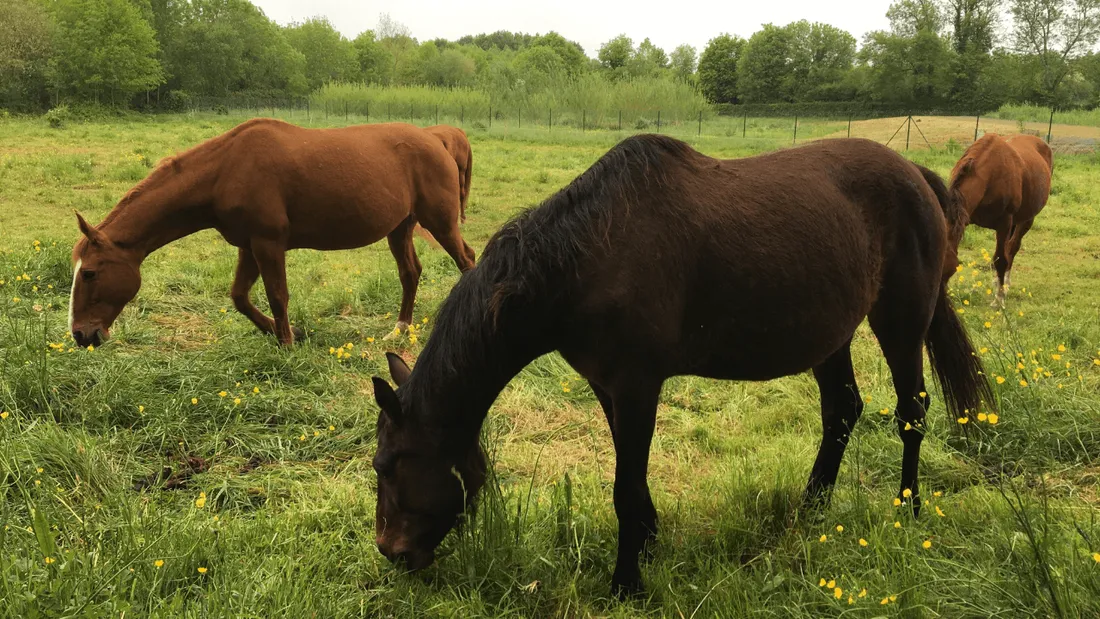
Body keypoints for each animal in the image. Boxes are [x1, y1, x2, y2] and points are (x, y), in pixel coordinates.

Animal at [68, 118, 476, 349]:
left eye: (89, 273)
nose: (80, 335)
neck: (226, 170)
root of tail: (437, 140)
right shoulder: (248, 246)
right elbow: (239, 297)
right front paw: (278, 332)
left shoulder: (269, 243)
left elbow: (277, 295)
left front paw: (288, 342)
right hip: (400, 228)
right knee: (411, 273)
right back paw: (400, 330)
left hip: (440, 222)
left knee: (467, 262)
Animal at [368, 135, 994, 597]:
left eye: (389, 465)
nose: (391, 552)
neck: (585, 257)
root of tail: (916, 175)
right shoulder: (608, 386)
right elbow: (631, 475)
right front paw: (647, 542)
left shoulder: (637, 385)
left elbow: (625, 485)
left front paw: (626, 583)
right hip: (831, 334)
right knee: (842, 409)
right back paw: (811, 511)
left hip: (901, 321)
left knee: (911, 411)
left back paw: (907, 510)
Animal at [946, 133, 1053, 306]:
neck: (989, 176)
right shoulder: (964, 218)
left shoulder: (1004, 224)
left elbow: (1001, 259)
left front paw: (999, 299)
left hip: (1026, 220)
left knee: (1012, 248)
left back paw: (1005, 285)